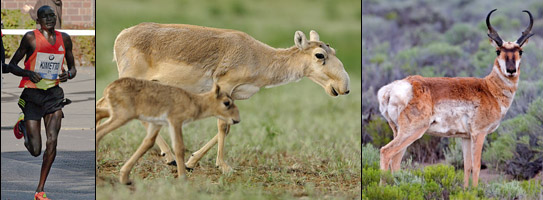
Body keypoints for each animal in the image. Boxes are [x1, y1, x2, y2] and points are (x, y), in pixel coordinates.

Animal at [96, 23, 352, 173]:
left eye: (332, 50)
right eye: (319, 55)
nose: (344, 87)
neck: (258, 56)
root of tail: (121, 36)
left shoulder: (232, 95)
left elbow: (228, 126)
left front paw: (191, 161)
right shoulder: (225, 87)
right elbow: (222, 126)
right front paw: (224, 166)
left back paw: (169, 157)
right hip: (130, 78)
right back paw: (167, 157)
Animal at [96, 77, 240, 184]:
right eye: (227, 102)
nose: (237, 119)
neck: (194, 101)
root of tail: (110, 87)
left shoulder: (156, 124)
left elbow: (148, 143)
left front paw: (124, 177)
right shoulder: (175, 122)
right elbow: (179, 148)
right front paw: (183, 179)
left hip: (117, 114)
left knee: (98, 114)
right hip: (122, 116)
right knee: (100, 131)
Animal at [378, 9, 536, 188]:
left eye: (520, 51)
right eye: (498, 51)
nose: (511, 70)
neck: (489, 88)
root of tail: (394, 88)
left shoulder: (465, 137)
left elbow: (467, 166)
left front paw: (466, 190)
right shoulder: (479, 134)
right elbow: (477, 166)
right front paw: (476, 191)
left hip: (399, 131)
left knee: (395, 161)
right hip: (412, 131)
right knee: (386, 152)